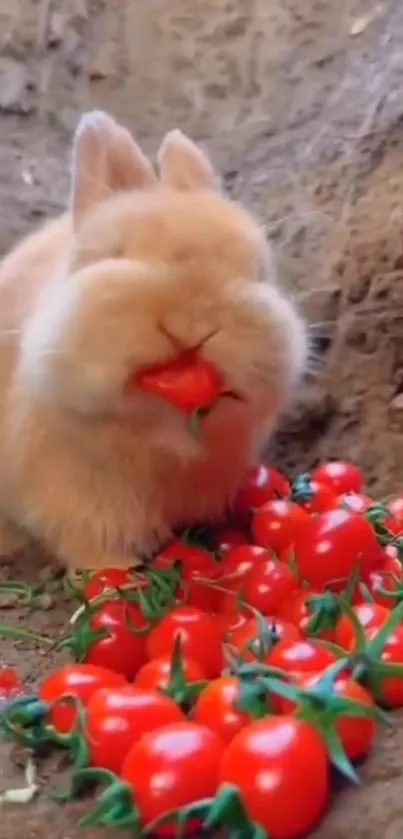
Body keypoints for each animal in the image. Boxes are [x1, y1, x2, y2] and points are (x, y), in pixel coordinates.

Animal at [0, 110, 308, 572]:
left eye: (258, 270)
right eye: (116, 253)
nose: (192, 327)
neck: (160, 441)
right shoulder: (76, 508)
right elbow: (95, 553)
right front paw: (119, 577)